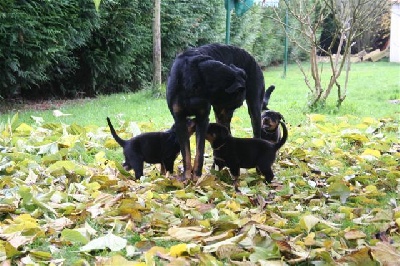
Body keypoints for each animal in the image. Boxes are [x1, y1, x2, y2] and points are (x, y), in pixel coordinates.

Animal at [166, 43, 266, 182]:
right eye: (235, 101)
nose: (231, 112)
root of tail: (253, 59)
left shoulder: (202, 119)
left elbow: (200, 151)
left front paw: (197, 177)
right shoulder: (179, 119)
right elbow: (185, 152)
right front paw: (186, 177)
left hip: (253, 109)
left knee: (257, 133)